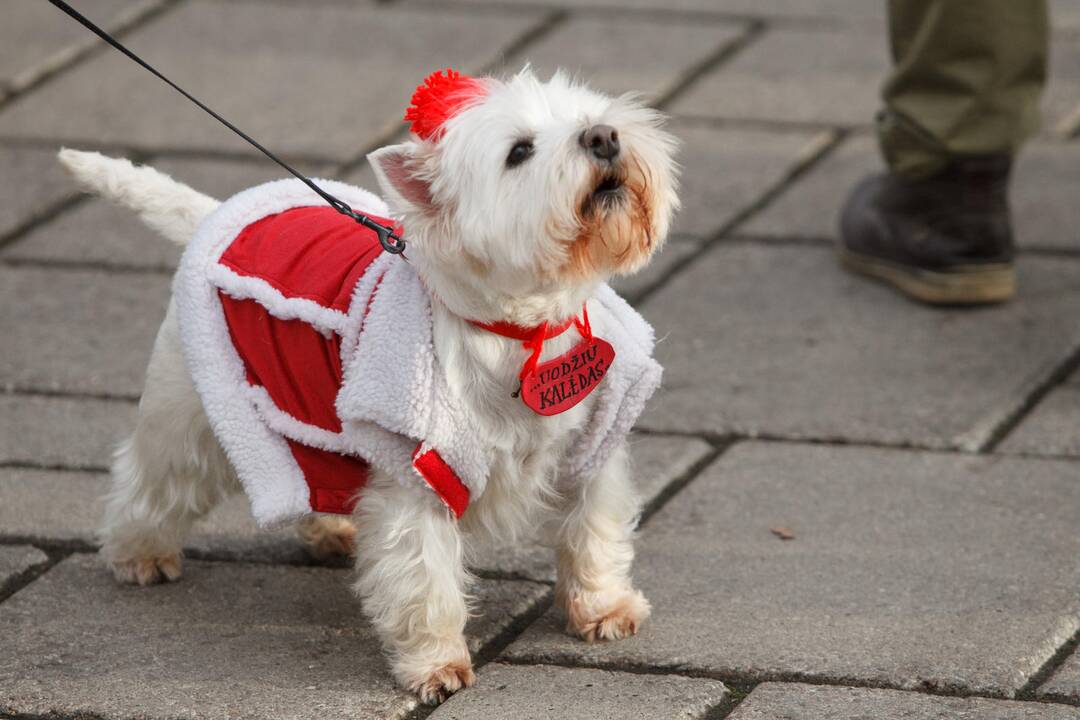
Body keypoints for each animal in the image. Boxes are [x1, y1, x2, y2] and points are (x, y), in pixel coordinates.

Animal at [56, 66, 673, 703]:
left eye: (590, 114)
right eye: (519, 152)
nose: (604, 136)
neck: (522, 333)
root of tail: (224, 209)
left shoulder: (592, 446)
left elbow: (593, 531)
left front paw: (605, 610)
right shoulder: (416, 474)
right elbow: (425, 582)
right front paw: (437, 669)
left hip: (305, 409)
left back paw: (334, 527)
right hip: (193, 407)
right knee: (153, 475)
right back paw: (139, 555)